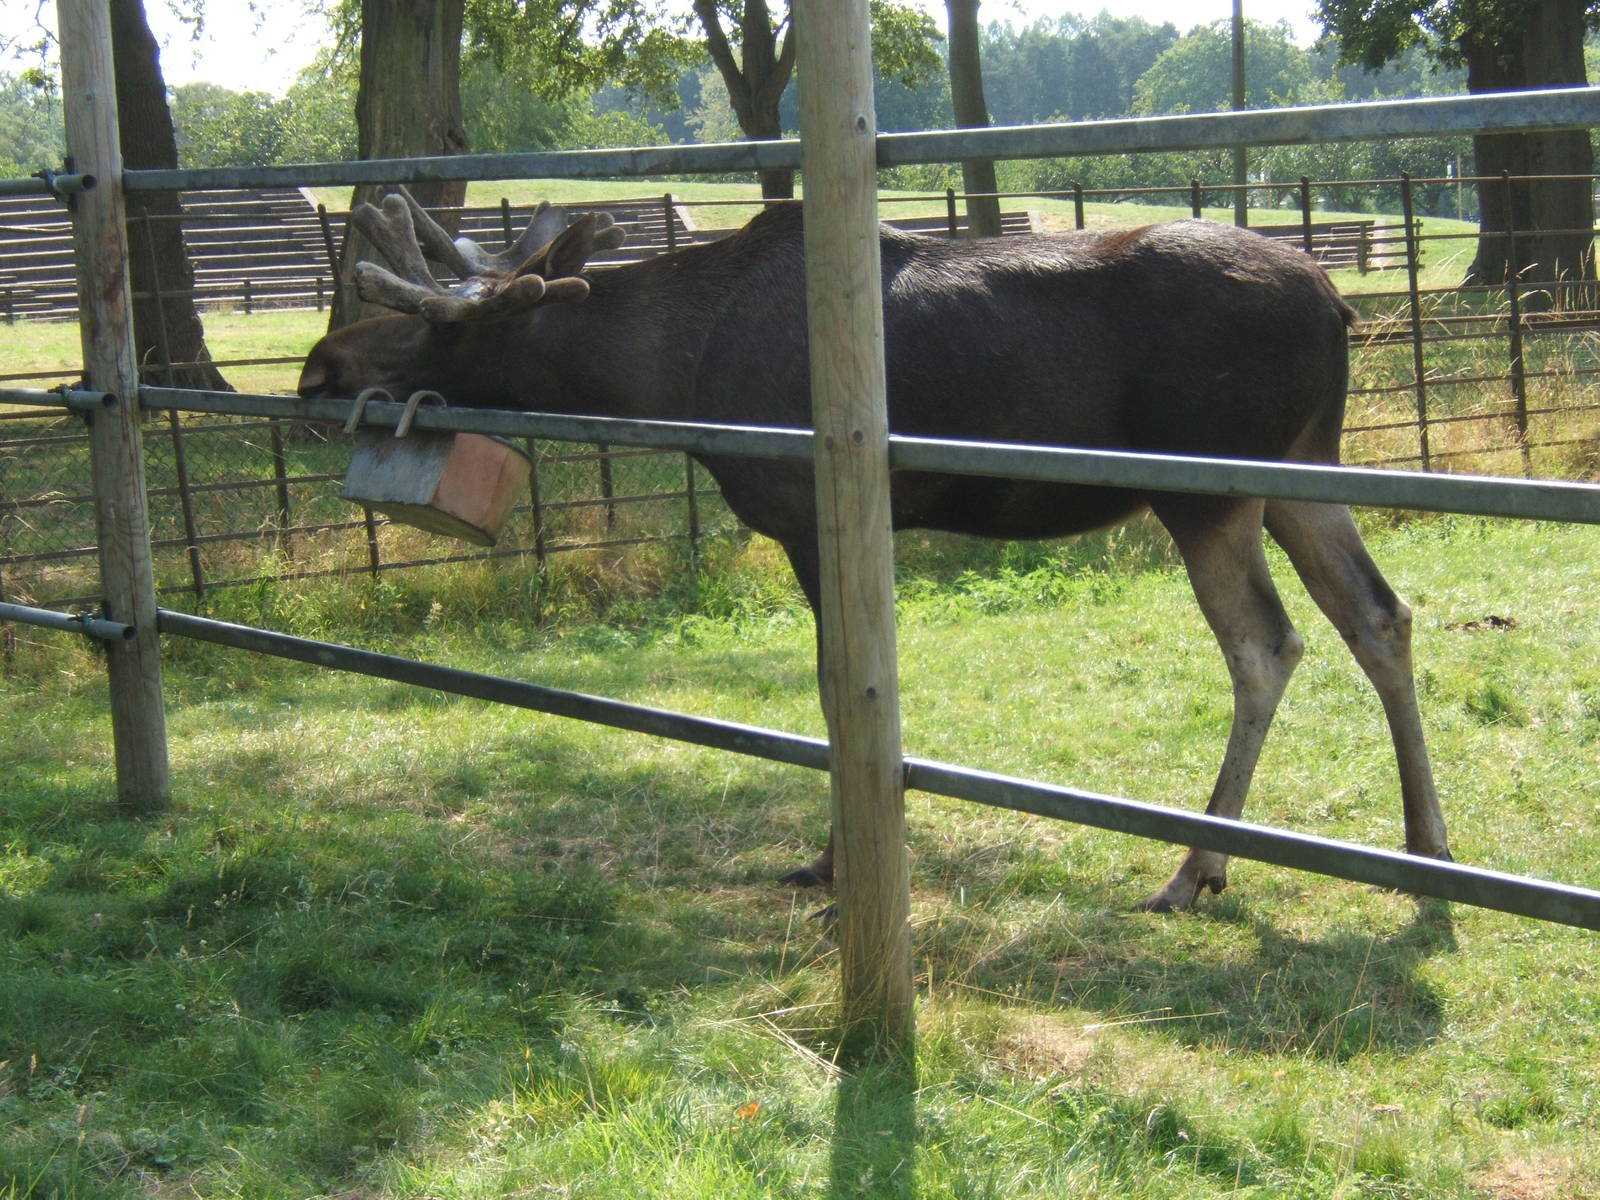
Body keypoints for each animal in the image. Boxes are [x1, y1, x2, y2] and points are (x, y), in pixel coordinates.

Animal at [297, 189, 1453, 913]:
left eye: (439, 327)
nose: (318, 365)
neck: (668, 377)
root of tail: (1340, 305)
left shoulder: (806, 512)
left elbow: (832, 689)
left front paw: (832, 863)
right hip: (1304, 466)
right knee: (1380, 615)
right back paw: (1426, 844)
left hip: (1209, 487)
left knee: (1266, 643)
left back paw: (1195, 869)